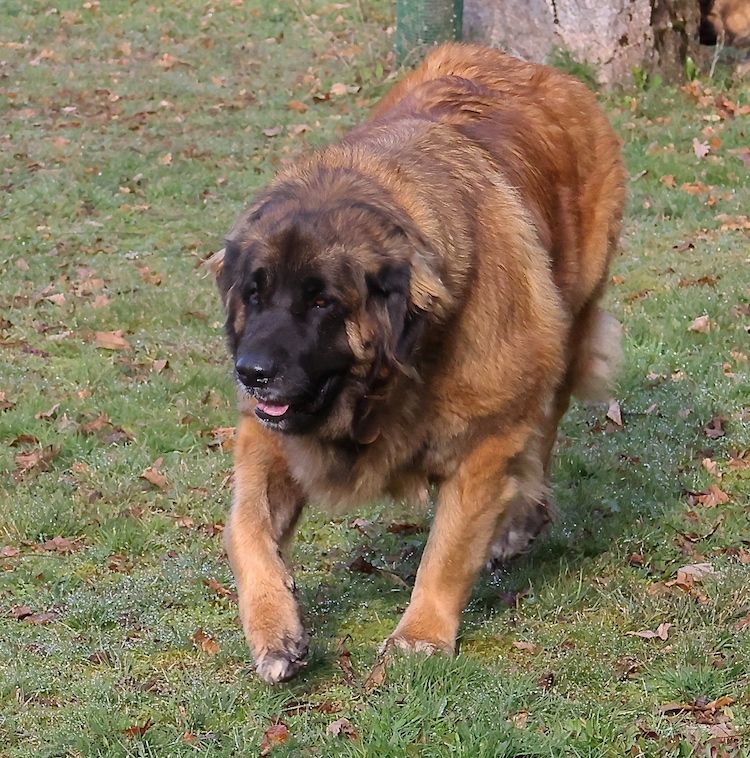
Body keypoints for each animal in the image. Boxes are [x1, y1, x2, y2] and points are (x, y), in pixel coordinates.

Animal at [209, 46, 624, 688]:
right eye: (255, 294)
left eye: (322, 302)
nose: (251, 372)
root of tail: (545, 71)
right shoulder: (266, 433)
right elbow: (245, 530)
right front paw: (276, 631)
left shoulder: (485, 437)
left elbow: (448, 550)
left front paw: (422, 634)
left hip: (565, 321)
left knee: (543, 428)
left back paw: (518, 517)